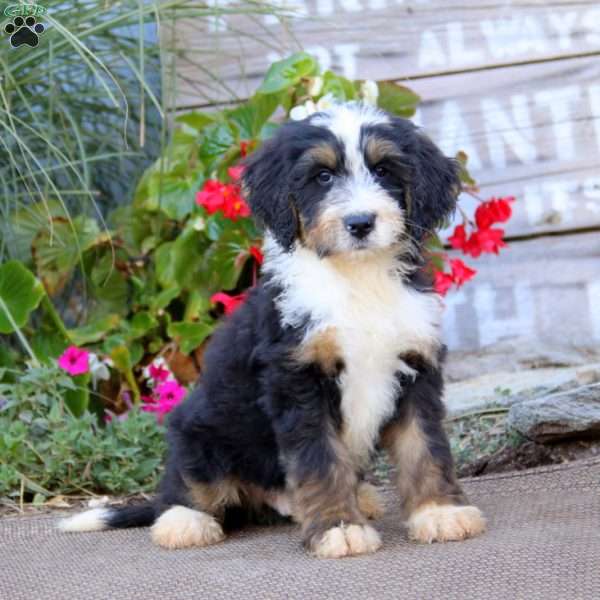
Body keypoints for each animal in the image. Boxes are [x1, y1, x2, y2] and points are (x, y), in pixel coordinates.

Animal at [59, 102, 488, 556]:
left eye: (384, 170)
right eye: (323, 176)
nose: (360, 223)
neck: (357, 280)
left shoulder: (414, 365)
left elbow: (424, 447)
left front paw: (439, 512)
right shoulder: (297, 379)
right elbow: (319, 460)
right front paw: (339, 527)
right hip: (199, 428)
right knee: (186, 482)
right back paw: (185, 521)